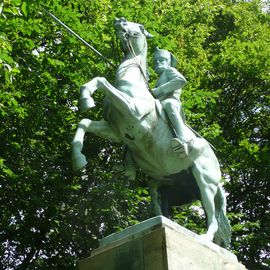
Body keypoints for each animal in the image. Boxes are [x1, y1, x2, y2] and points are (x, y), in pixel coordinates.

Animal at [71, 17, 230, 247]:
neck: (131, 82)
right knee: (160, 206)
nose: (119, 20)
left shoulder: (132, 110)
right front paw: (78, 159)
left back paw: (205, 238)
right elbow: (84, 122)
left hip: (205, 183)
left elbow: (102, 80)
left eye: (138, 28)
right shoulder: (116, 130)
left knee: (213, 217)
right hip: (159, 185)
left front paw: (86, 97)